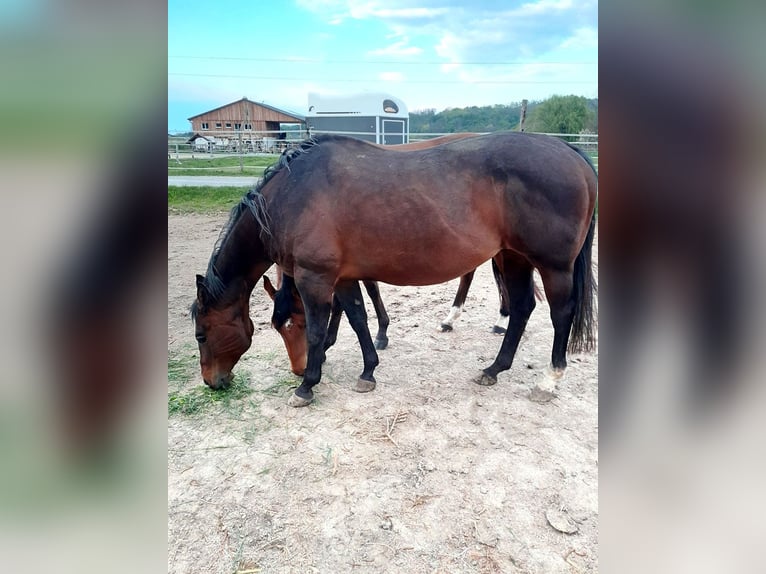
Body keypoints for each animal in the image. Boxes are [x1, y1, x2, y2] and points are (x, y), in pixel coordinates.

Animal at [192, 132, 597, 407]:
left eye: (201, 335)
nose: (212, 381)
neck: (293, 196)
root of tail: (572, 153)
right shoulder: (344, 278)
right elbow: (357, 318)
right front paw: (368, 370)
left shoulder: (315, 279)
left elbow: (320, 331)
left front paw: (307, 385)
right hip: (513, 258)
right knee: (523, 308)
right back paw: (493, 369)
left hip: (553, 266)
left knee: (560, 314)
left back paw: (548, 381)